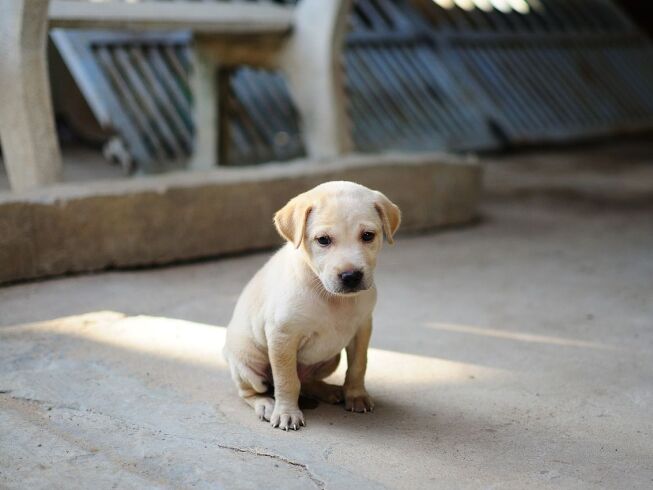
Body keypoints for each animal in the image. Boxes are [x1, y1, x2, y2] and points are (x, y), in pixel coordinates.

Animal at [222, 180, 400, 428]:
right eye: (323, 240)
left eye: (367, 236)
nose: (351, 276)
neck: (331, 297)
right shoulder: (282, 336)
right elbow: (286, 380)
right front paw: (286, 412)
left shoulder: (362, 328)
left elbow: (358, 366)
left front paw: (356, 395)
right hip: (248, 362)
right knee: (253, 390)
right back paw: (266, 404)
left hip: (330, 358)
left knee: (306, 382)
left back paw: (327, 390)